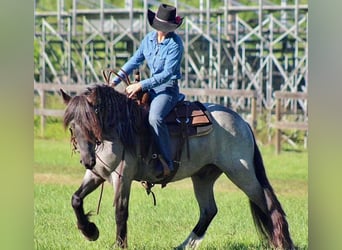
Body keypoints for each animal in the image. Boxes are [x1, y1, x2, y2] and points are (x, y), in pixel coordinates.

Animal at [60, 84, 294, 250]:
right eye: (72, 125)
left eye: (91, 123)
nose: (87, 160)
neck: (119, 129)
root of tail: (242, 122)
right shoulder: (96, 174)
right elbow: (76, 199)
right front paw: (90, 231)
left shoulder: (122, 178)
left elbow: (120, 211)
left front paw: (119, 244)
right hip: (203, 176)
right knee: (209, 211)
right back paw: (183, 245)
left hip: (241, 173)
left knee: (267, 204)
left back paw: (283, 243)